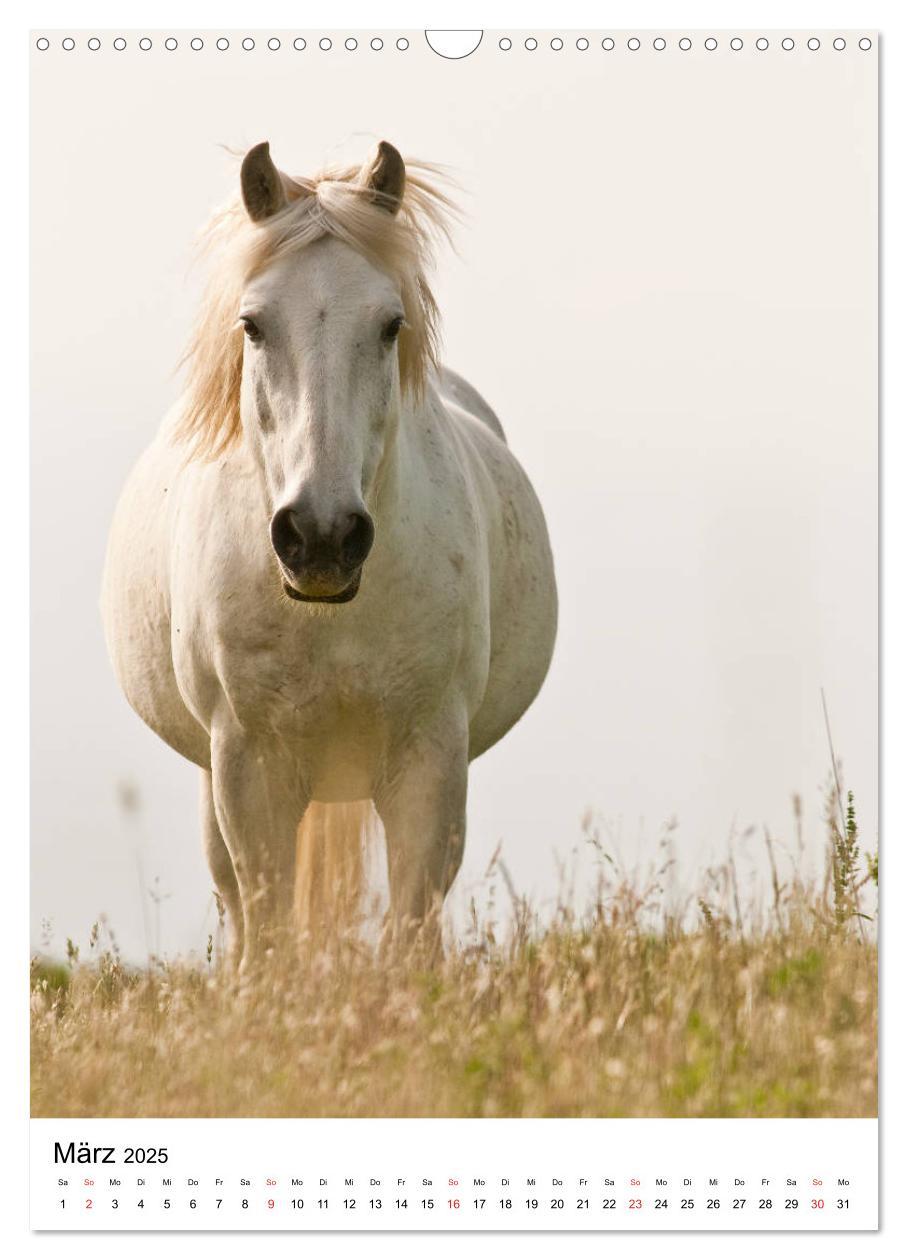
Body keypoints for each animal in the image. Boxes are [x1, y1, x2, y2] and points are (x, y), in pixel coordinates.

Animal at [99, 140, 551, 962]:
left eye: (390, 324)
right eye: (252, 325)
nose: (321, 538)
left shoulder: (430, 759)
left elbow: (411, 931)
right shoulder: (249, 764)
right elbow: (270, 927)